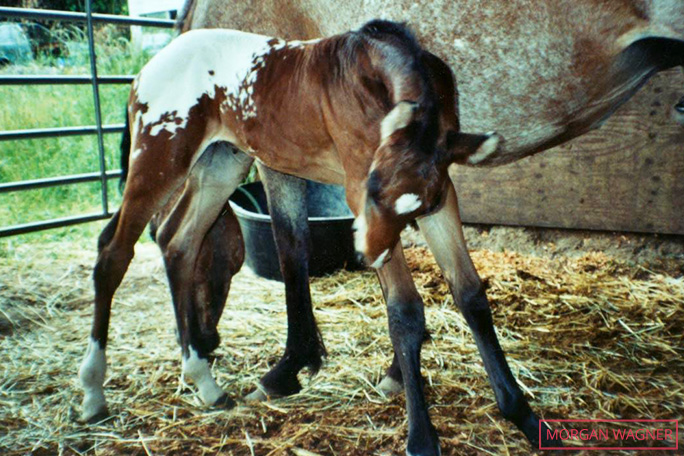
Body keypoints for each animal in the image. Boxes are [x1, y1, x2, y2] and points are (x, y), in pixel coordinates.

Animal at [78, 20, 502, 456]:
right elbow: (404, 309)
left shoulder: (441, 193)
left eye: (422, 202)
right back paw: (94, 393)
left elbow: (468, 291)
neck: (372, 65)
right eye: (369, 191)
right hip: (159, 157)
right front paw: (420, 433)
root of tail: (146, 70)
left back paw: (205, 383)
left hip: (220, 161)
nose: (367, 252)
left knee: (178, 241)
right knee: (114, 251)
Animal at [136, 0, 683, 453]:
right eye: (374, 190)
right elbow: (450, 298)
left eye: (225, 262)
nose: (203, 340)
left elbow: (332, 268)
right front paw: (496, 415)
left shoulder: (291, 161)